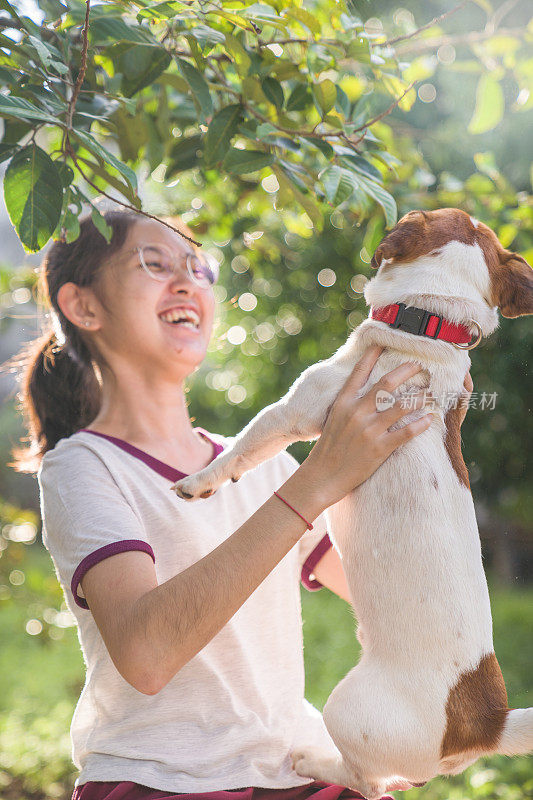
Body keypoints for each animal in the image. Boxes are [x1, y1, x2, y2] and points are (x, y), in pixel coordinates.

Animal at [170, 209, 532, 796]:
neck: (428, 323)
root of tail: (485, 726)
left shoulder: (296, 409)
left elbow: (244, 445)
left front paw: (200, 479)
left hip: (347, 707)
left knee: (368, 781)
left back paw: (315, 761)